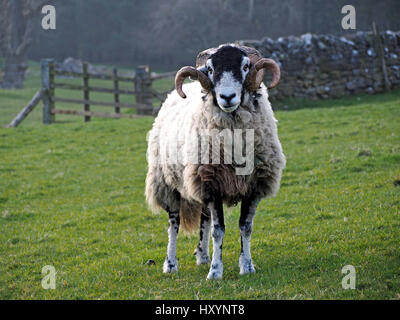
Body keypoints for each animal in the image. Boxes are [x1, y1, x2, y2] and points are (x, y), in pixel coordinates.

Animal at [145, 43, 286, 278]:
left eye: (245, 66)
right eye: (210, 69)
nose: (227, 97)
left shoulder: (253, 186)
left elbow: (245, 227)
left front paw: (247, 266)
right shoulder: (212, 185)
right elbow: (218, 231)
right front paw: (215, 272)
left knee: (204, 219)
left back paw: (202, 256)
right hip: (167, 183)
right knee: (174, 225)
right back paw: (171, 264)